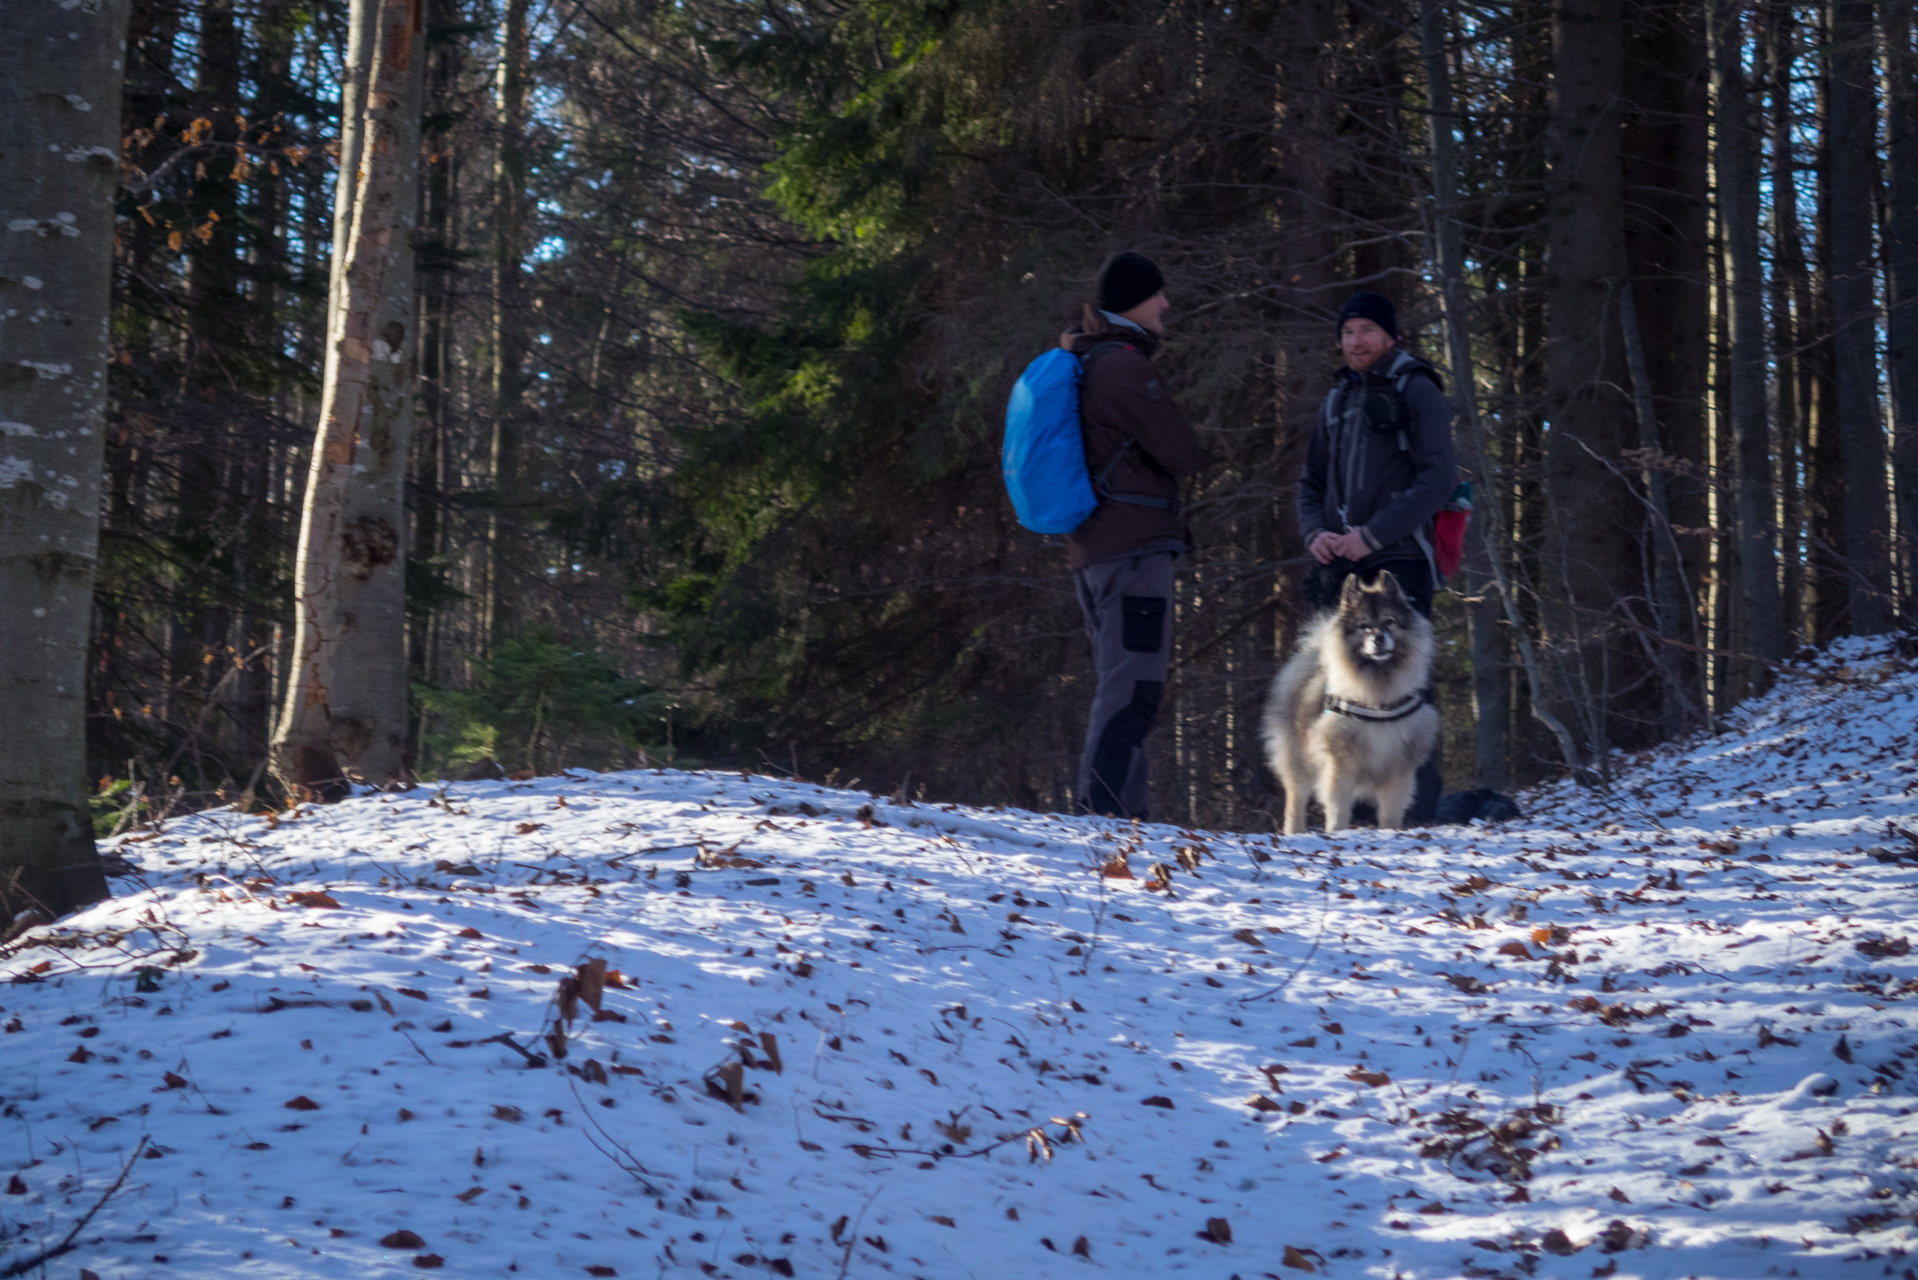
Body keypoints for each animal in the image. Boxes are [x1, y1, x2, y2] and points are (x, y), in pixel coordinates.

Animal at [1258, 571, 1442, 836]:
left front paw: (1390, 832)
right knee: (1296, 798)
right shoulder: (1340, 764)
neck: (1378, 696)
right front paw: (1336, 832)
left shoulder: (1399, 768)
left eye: (1389, 622)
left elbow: (1390, 812)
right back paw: (1295, 831)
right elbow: (1338, 808)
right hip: (1298, 759)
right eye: (1364, 626)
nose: (1378, 638)